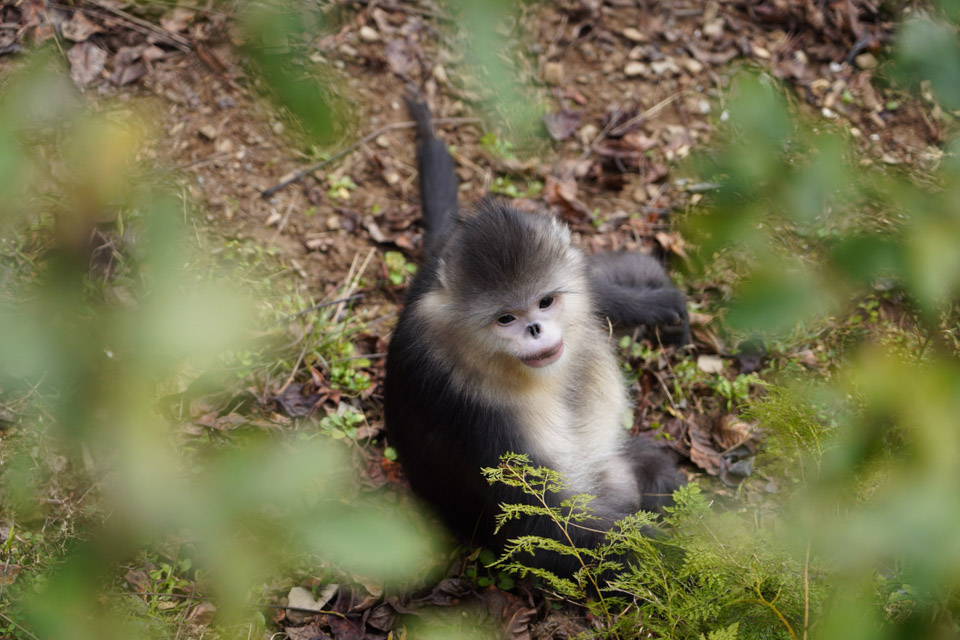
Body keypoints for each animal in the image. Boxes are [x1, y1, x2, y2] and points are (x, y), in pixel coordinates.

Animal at [384, 100, 688, 576]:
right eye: (506, 318)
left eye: (545, 302)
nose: (535, 328)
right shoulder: (471, 408)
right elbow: (541, 528)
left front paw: (650, 304)